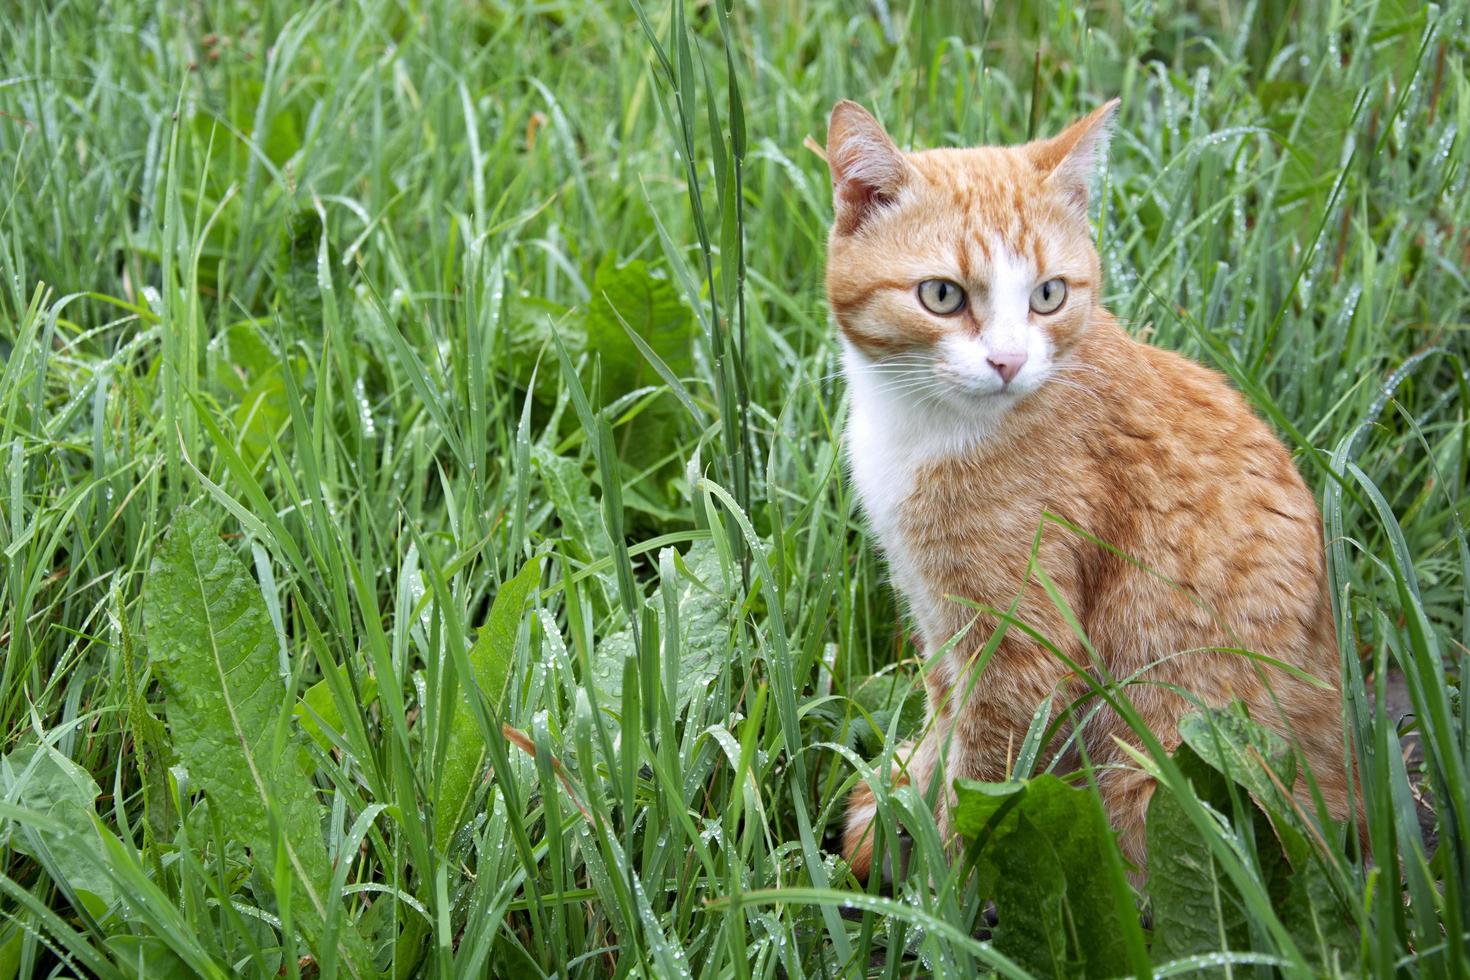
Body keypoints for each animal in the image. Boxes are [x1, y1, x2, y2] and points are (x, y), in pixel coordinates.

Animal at [823, 101, 1346, 881]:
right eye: (942, 295)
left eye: (1048, 295)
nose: (1009, 361)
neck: (922, 426)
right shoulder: (938, 614)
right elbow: (944, 715)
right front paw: (902, 796)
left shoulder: (1023, 643)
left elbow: (981, 777)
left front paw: (942, 883)